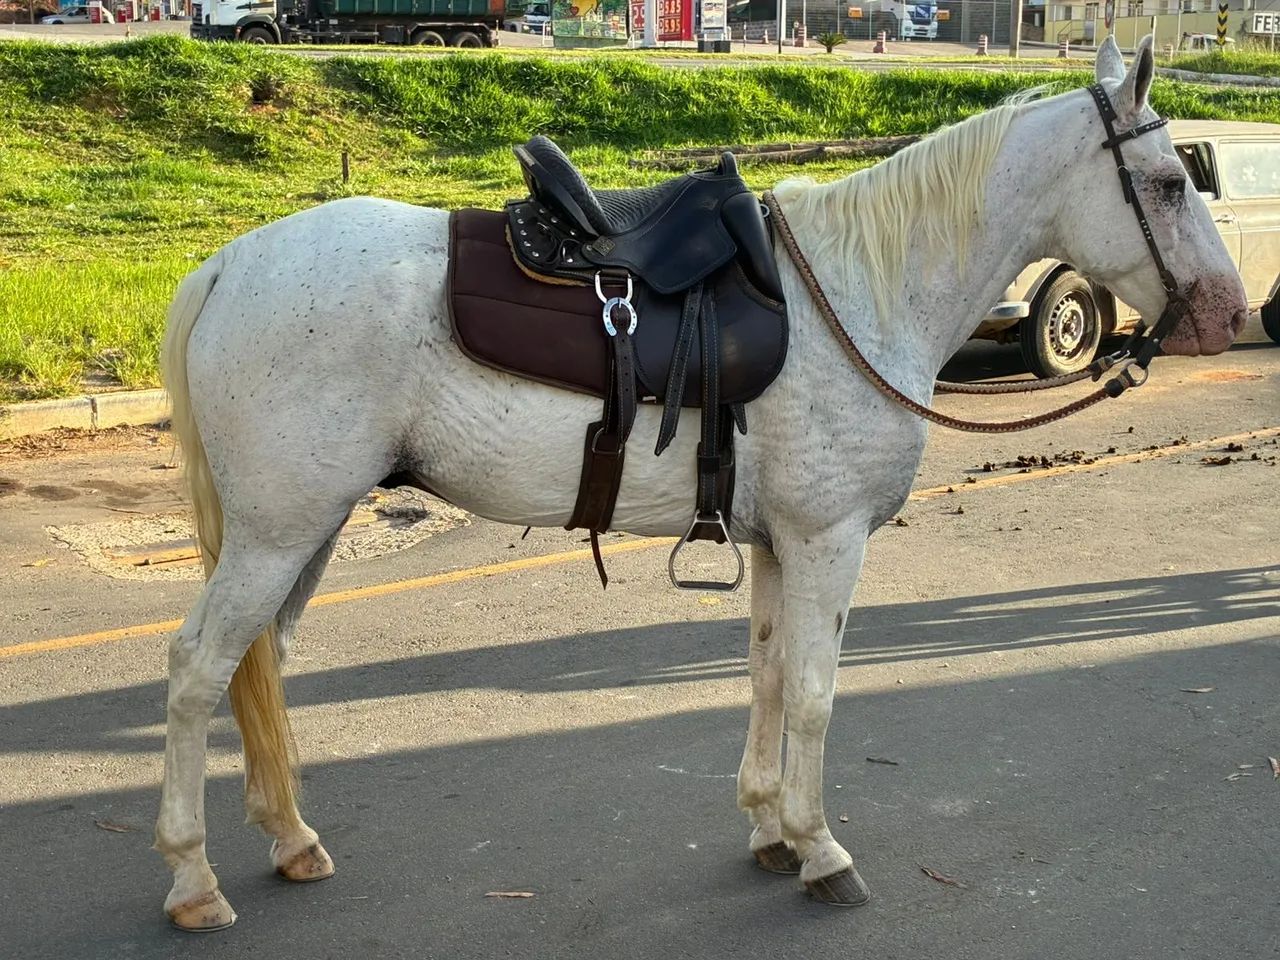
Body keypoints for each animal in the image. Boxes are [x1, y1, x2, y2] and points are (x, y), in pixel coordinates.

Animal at [154, 36, 1247, 930]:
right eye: (1164, 183)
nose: (1229, 313)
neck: (859, 290)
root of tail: (226, 266)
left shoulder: (775, 543)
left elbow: (765, 677)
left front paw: (768, 830)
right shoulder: (828, 540)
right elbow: (813, 692)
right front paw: (820, 849)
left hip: (305, 531)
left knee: (259, 666)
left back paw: (290, 839)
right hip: (278, 533)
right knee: (201, 669)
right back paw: (192, 879)